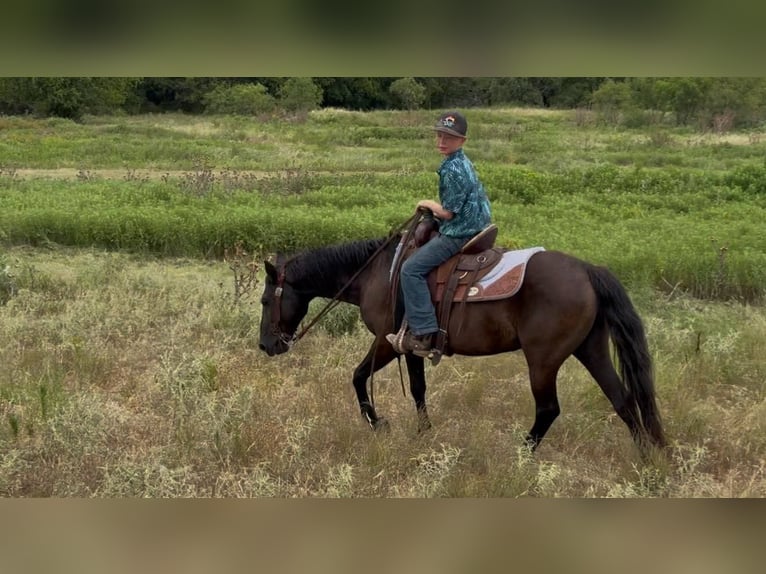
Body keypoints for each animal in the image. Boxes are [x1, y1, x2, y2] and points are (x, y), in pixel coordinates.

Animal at [258, 233, 666, 454]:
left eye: (264, 301)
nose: (265, 345)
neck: (376, 274)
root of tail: (587, 270)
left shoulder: (386, 341)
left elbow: (357, 377)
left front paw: (378, 424)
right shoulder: (409, 344)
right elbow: (418, 387)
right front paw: (423, 432)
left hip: (543, 359)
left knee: (549, 409)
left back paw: (520, 455)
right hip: (591, 348)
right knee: (624, 400)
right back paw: (646, 459)